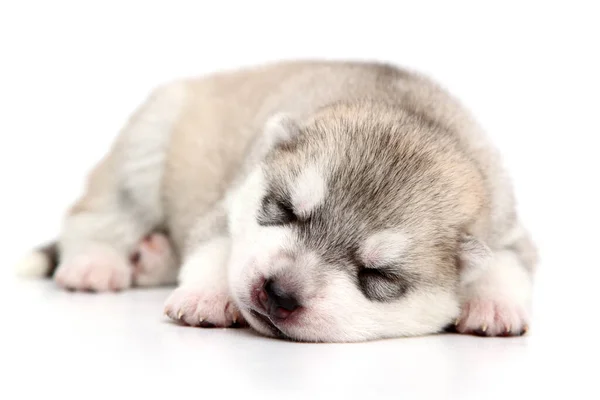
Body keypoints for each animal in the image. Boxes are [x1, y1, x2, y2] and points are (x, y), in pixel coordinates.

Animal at [15, 61, 540, 342]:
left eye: (377, 275)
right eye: (283, 209)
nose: (279, 292)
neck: (414, 115)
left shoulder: (508, 229)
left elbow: (506, 264)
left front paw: (493, 306)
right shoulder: (228, 199)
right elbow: (215, 246)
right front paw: (207, 294)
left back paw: (153, 258)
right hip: (146, 146)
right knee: (97, 215)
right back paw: (96, 263)